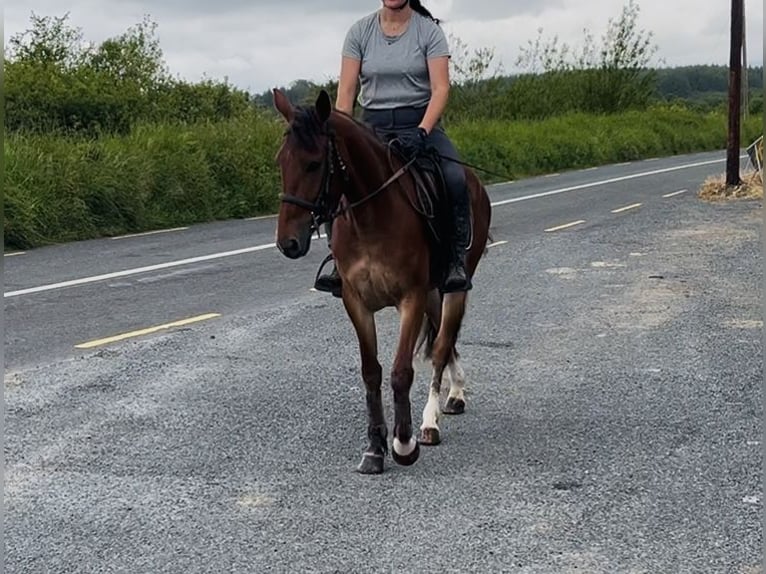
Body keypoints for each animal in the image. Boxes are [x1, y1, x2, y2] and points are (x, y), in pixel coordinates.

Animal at [272, 88, 492, 474]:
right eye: (281, 162)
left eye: (314, 164)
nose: (289, 243)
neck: (371, 218)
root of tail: (476, 183)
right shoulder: (357, 303)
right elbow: (371, 372)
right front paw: (375, 448)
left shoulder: (410, 299)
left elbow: (401, 371)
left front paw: (403, 443)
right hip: (433, 294)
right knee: (443, 339)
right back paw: (455, 392)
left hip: (453, 288)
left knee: (441, 346)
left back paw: (430, 421)